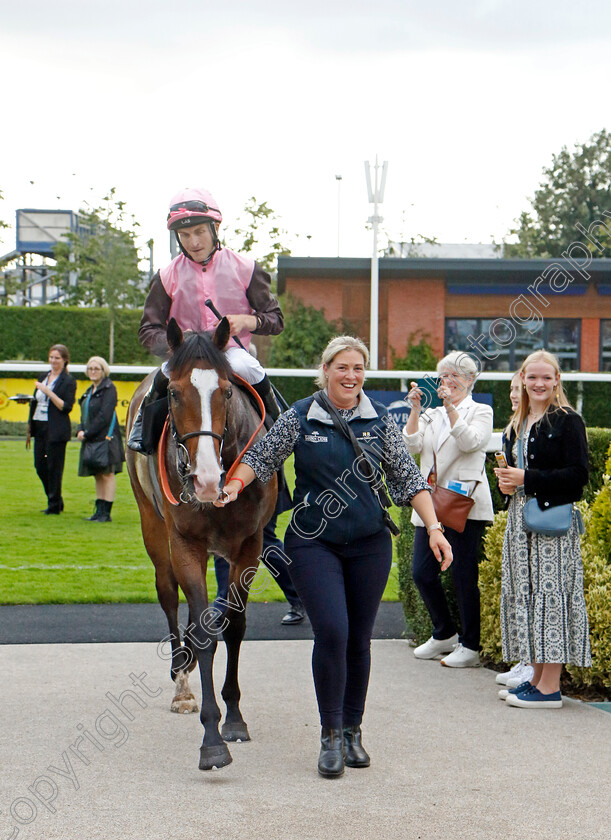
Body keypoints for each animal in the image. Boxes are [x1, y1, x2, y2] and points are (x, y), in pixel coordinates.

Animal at [127, 318, 280, 772]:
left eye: (227, 391)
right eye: (174, 393)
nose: (207, 480)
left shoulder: (249, 544)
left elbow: (234, 626)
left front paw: (234, 718)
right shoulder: (185, 544)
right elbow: (203, 629)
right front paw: (211, 738)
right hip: (152, 526)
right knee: (168, 595)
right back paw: (182, 683)